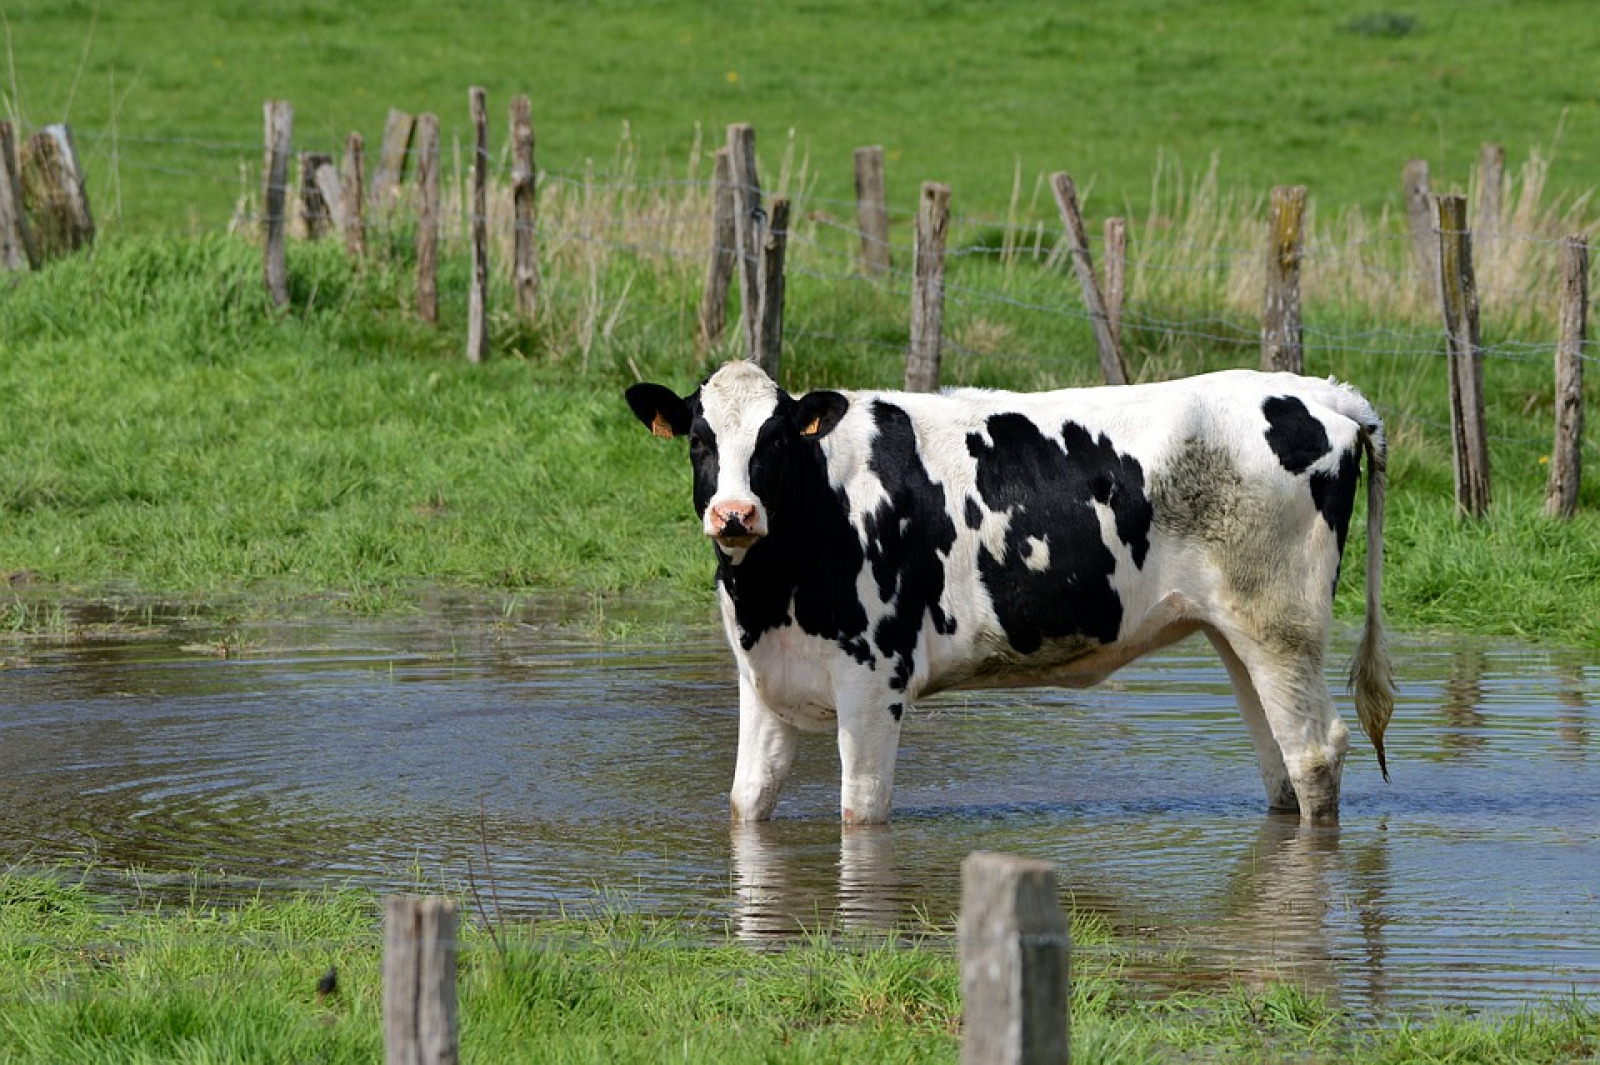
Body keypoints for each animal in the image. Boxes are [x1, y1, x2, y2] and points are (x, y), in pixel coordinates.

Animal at [630, 361, 1395, 825]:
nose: (735, 514)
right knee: (1278, 759)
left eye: (777, 441)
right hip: (1236, 629)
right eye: (699, 440)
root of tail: (1318, 392)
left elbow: (861, 813)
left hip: (1282, 623)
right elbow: (745, 803)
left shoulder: (875, 683)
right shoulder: (763, 680)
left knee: (1314, 752)